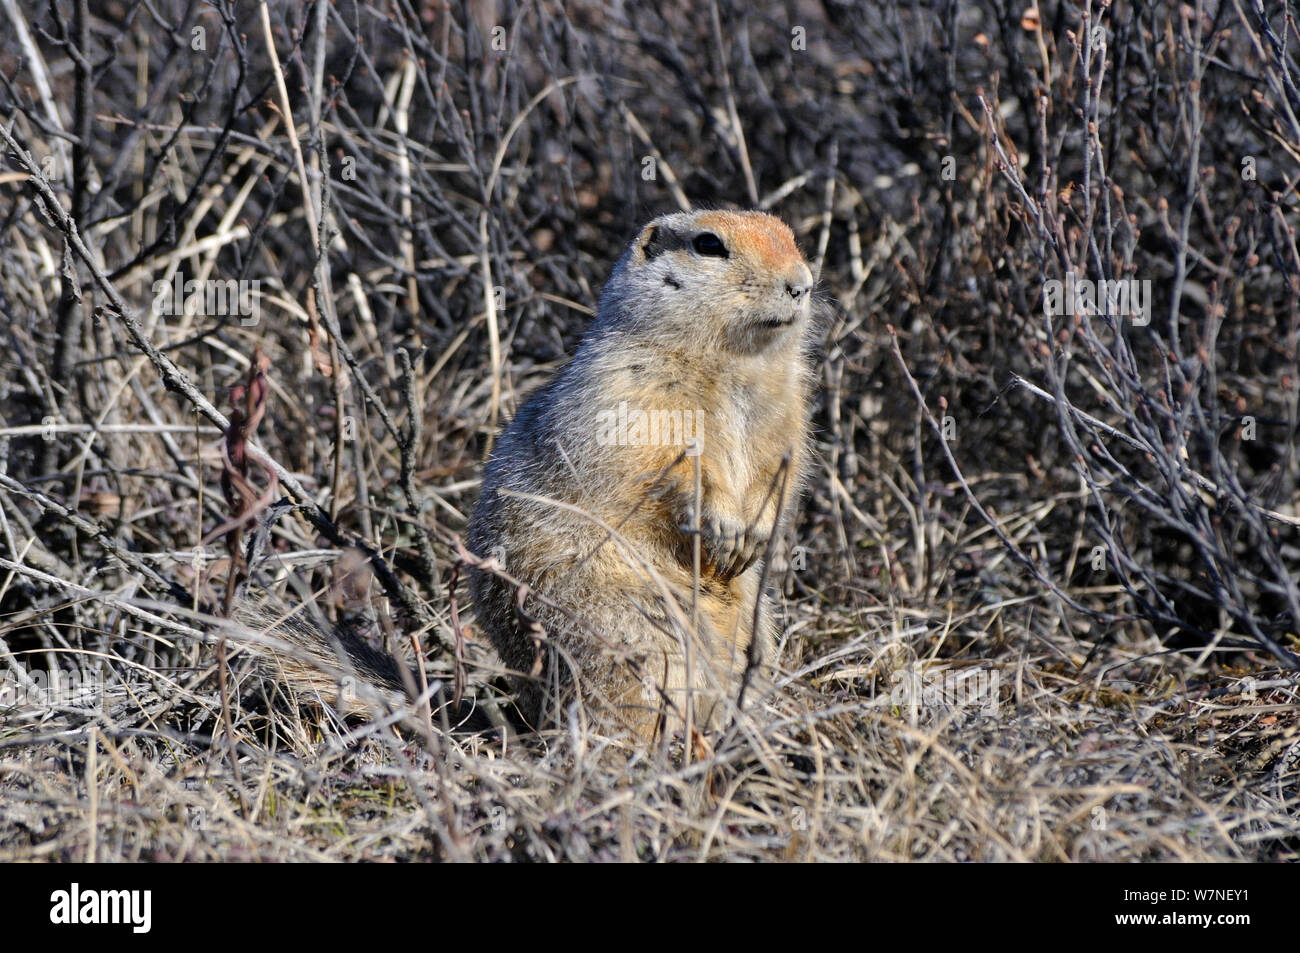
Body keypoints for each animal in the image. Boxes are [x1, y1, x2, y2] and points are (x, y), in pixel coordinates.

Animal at [467, 208, 811, 743]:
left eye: (790, 235)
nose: (802, 284)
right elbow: (674, 465)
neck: (735, 363)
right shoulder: (633, 395)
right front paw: (723, 524)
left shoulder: (787, 412)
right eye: (709, 244)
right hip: (631, 630)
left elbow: (779, 469)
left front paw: (755, 531)